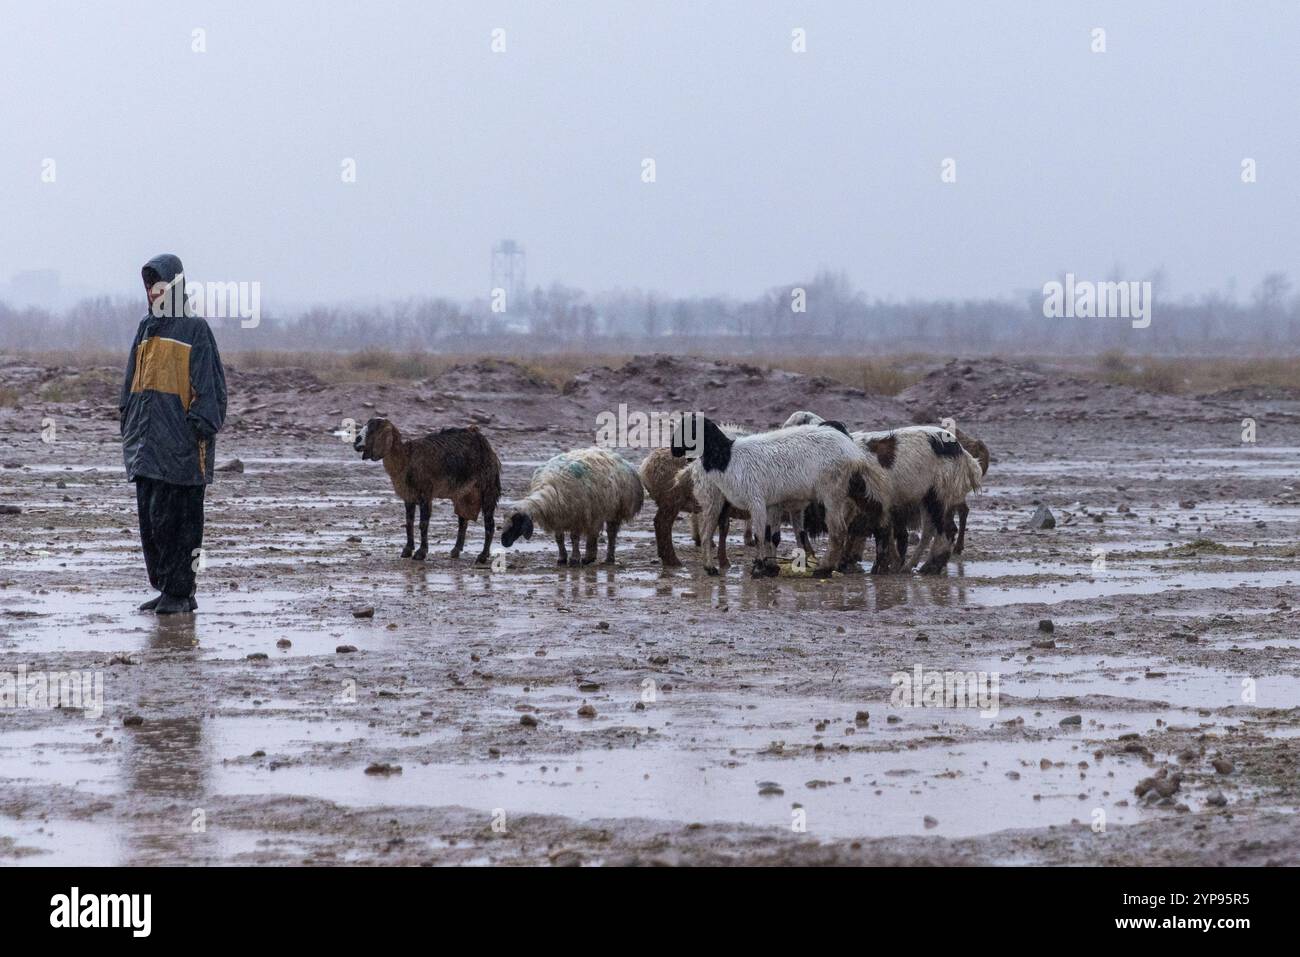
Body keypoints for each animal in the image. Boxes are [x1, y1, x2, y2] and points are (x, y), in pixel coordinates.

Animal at [353, 416, 499, 564]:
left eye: (373, 429)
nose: (356, 442)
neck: (406, 458)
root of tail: (483, 441)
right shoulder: (409, 496)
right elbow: (409, 522)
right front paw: (407, 550)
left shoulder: (425, 494)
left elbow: (423, 523)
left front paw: (420, 553)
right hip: (464, 494)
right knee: (463, 520)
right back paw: (455, 550)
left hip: (488, 488)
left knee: (489, 523)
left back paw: (482, 556)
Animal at [499, 447, 642, 564]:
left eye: (517, 522)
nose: (504, 541)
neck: (550, 492)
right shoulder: (558, 517)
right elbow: (559, 538)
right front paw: (562, 558)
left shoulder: (577, 516)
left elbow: (574, 538)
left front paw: (574, 559)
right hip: (595, 511)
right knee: (593, 533)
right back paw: (590, 557)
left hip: (615, 510)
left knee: (611, 534)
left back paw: (606, 559)